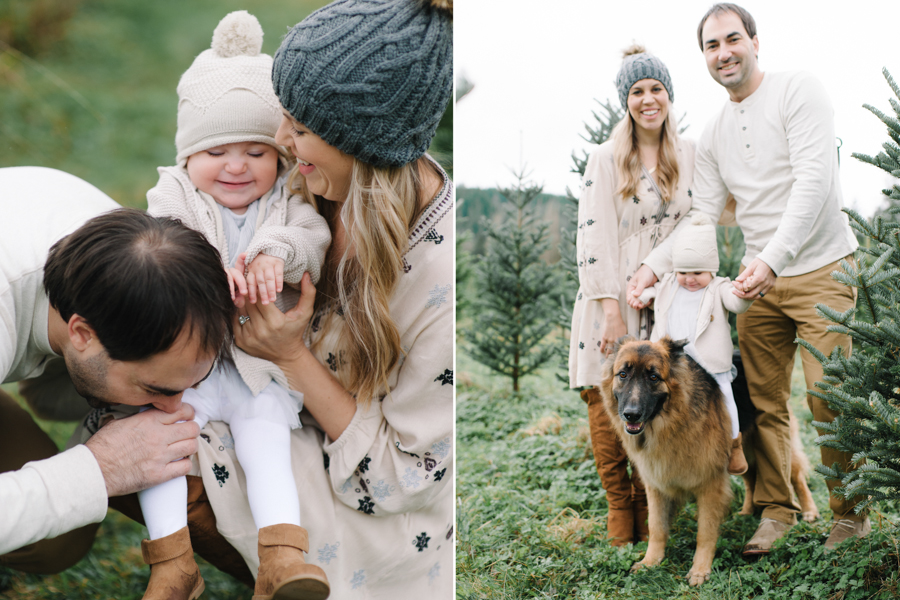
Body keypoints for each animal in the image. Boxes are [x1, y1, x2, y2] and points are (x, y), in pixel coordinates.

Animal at [596, 338, 732, 584]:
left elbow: (705, 532)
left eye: (653, 377)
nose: (631, 414)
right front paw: (651, 561)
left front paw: (700, 569)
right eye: (623, 374)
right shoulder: (655, 486)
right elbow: (656, 527)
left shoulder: (711, 485)